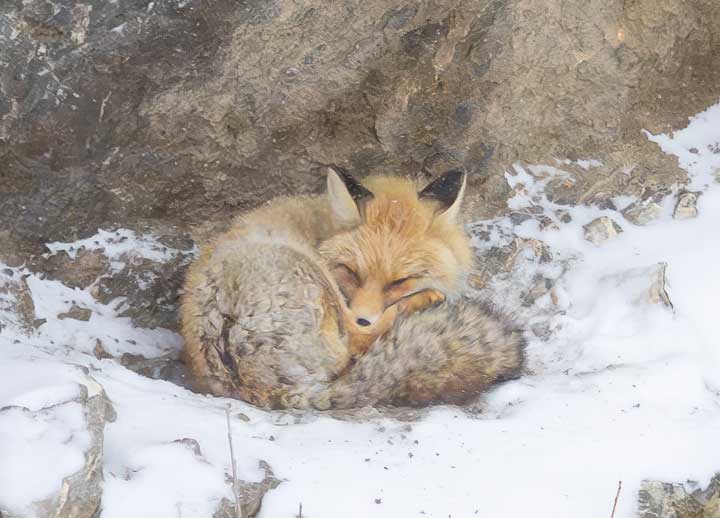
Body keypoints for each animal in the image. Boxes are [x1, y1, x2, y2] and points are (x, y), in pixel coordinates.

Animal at [180, 167, 525, 409]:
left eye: (399, 281)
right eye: (352, 272)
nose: (363, 316)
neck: (320, 229)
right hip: (316, 282)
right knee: (354, 346)